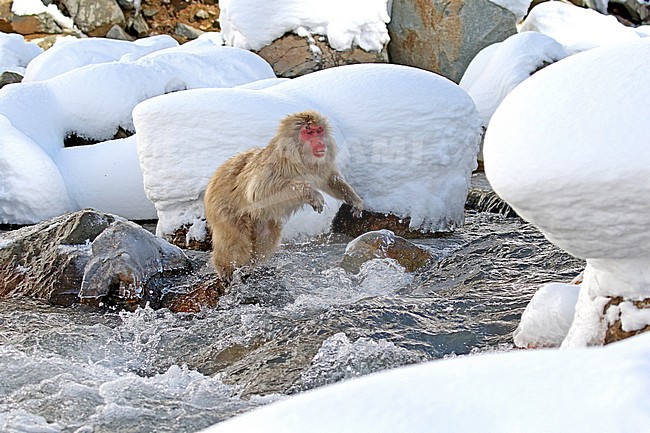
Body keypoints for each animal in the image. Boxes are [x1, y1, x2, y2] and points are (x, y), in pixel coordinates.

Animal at [204, 110, 364, 281]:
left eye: (319, 130)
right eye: (309, 132)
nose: (320, 141)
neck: (302, 159)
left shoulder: (321, 164)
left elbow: (330, 179)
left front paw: (354, 199)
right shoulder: (276, 165)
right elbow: (258, 192)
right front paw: (311, 193)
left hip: (259, 219)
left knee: (268, 236)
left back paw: (250, 266)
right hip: (221, 207)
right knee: (235, 239)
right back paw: (225, 269)